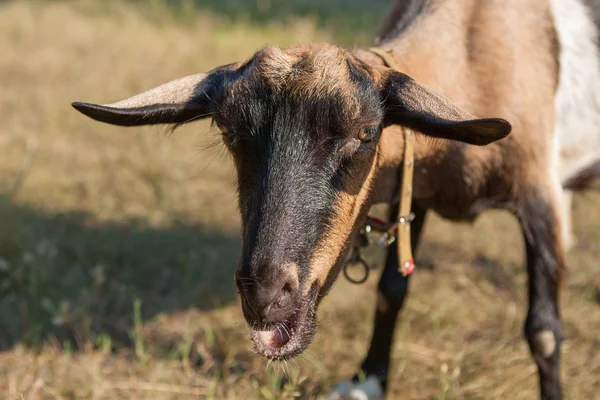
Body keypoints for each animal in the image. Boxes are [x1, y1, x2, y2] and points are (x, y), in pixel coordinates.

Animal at [71, 0, 600, 400]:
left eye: (365, 134)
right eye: (229, 131)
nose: (265, 295)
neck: (475, 47)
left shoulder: (542, 198)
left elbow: (543, 332)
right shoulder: (415, 196)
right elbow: (391, 291)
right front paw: (368, 379)